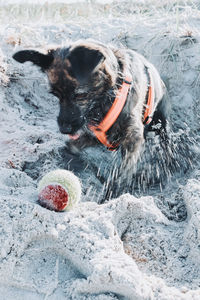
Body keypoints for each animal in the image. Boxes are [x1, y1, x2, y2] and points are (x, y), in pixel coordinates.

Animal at [12, 39, 170, 186]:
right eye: (55, 95)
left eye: (80, 95)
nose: (65, 129)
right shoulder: (94, 135)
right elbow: (71, 145)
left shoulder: (133, 138)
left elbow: (122, 173)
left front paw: (113, 189)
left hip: (160, 123)